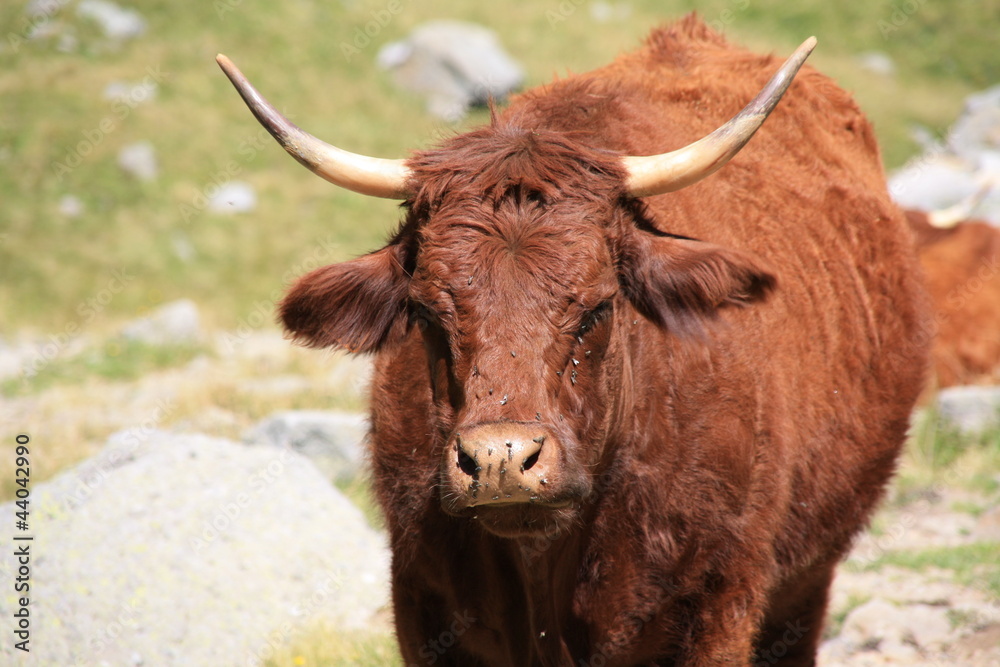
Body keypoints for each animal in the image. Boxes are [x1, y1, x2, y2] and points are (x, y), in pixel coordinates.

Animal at [219, 15, 928, 667]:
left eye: (597, 306)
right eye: (425, 311)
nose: (500, 459)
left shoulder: (717, 607)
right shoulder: (424, 609)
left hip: (805, 583)